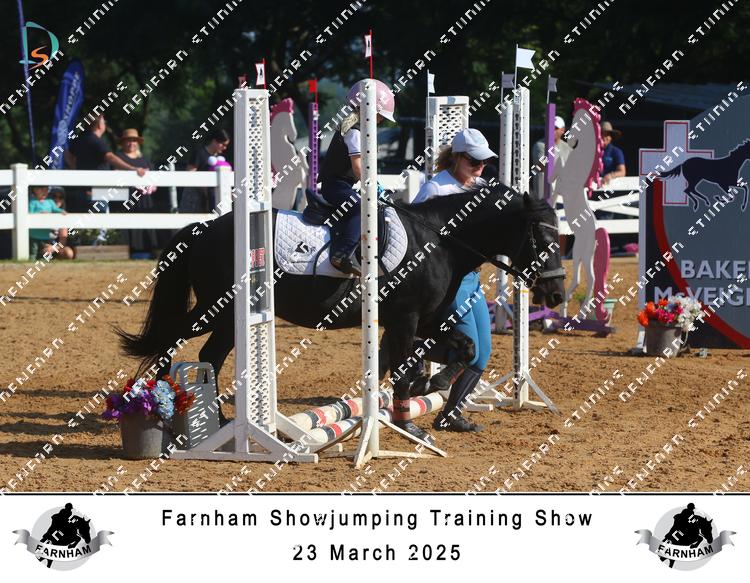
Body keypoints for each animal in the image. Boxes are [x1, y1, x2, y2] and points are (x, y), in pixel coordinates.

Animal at [117, 182, 565, 444]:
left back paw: (220, 419)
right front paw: (409, 421)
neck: (439, 242)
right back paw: (164, 407)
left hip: (229, 318)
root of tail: (205, 229)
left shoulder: (430, 319)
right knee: (172, 340)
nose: (558, 293)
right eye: (542, 238)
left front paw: (432, 384)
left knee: (207, 354)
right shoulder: (406, 320)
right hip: (219, 310)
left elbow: (466, 349)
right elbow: (405, 370)